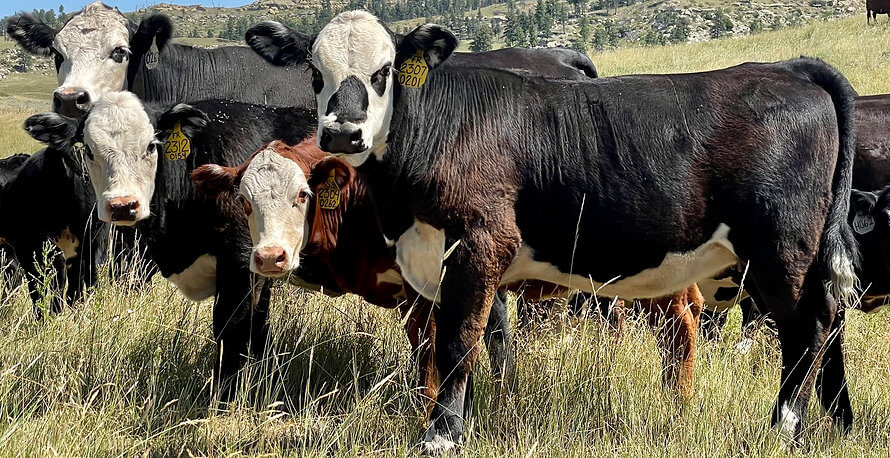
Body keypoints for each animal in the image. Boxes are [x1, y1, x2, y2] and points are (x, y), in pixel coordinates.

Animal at [251, 12, 859, 452]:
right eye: (315, 74)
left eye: (384, 73)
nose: (342, 132)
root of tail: (788, 69)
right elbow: (460, 346)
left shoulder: (478, 245)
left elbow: (456, 343)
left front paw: (441, 437)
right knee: (828, 322)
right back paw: (830, 423)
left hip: (781, 249)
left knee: (807, 329)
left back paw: (783, 428)